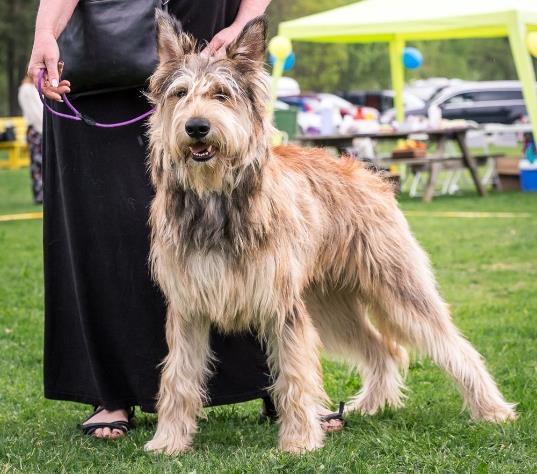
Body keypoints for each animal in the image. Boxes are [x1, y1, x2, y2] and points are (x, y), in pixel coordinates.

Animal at [143, 12, 516, 456]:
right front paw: (169, 441)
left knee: (454, 347)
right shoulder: (188, 310)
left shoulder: (282, 309)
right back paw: (370, 405)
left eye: (221, 94)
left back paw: (493, 410)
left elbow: (294, 376)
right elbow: (178, 378)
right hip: (330, 305)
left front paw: (299, 441)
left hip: (399, 292)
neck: (215, 202)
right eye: (180, 93)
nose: (196, 127)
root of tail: (371, 175)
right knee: (383, 350)